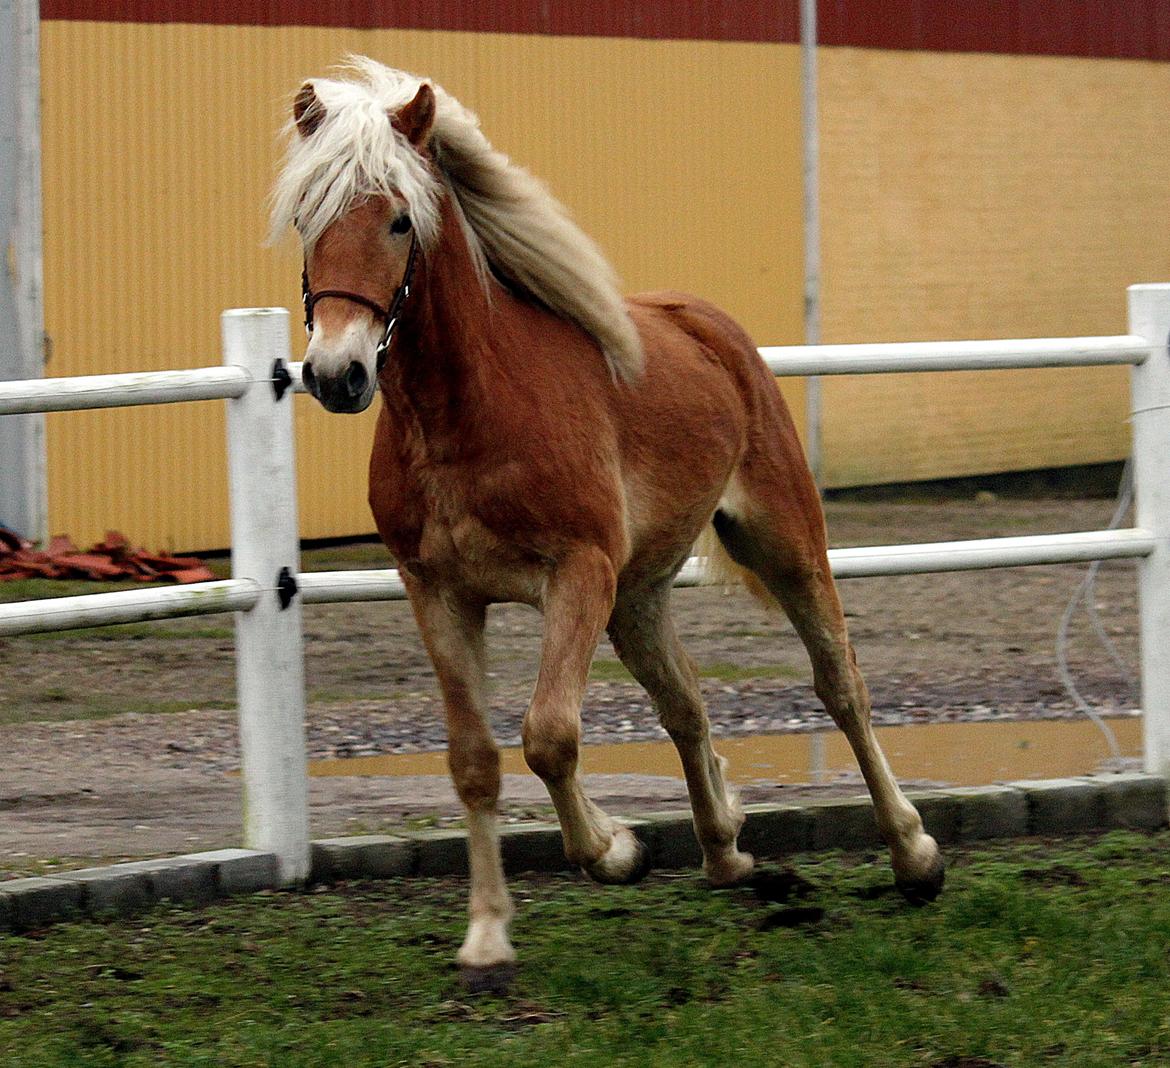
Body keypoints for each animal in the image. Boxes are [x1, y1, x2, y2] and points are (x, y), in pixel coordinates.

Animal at [271, 60, 940, 982]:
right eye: (307, 216)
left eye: (401, 219)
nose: (337, 374)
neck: (466, 414)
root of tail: (712, 327)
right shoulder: (438, 593)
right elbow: (474, 761)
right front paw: (487, 934)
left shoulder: (576, 574)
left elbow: (549, 736)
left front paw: (616, 851)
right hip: (639, 595)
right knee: (686, 704)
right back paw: (726, 851)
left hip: (782, 545)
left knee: (841, 685)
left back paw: (914, 856)